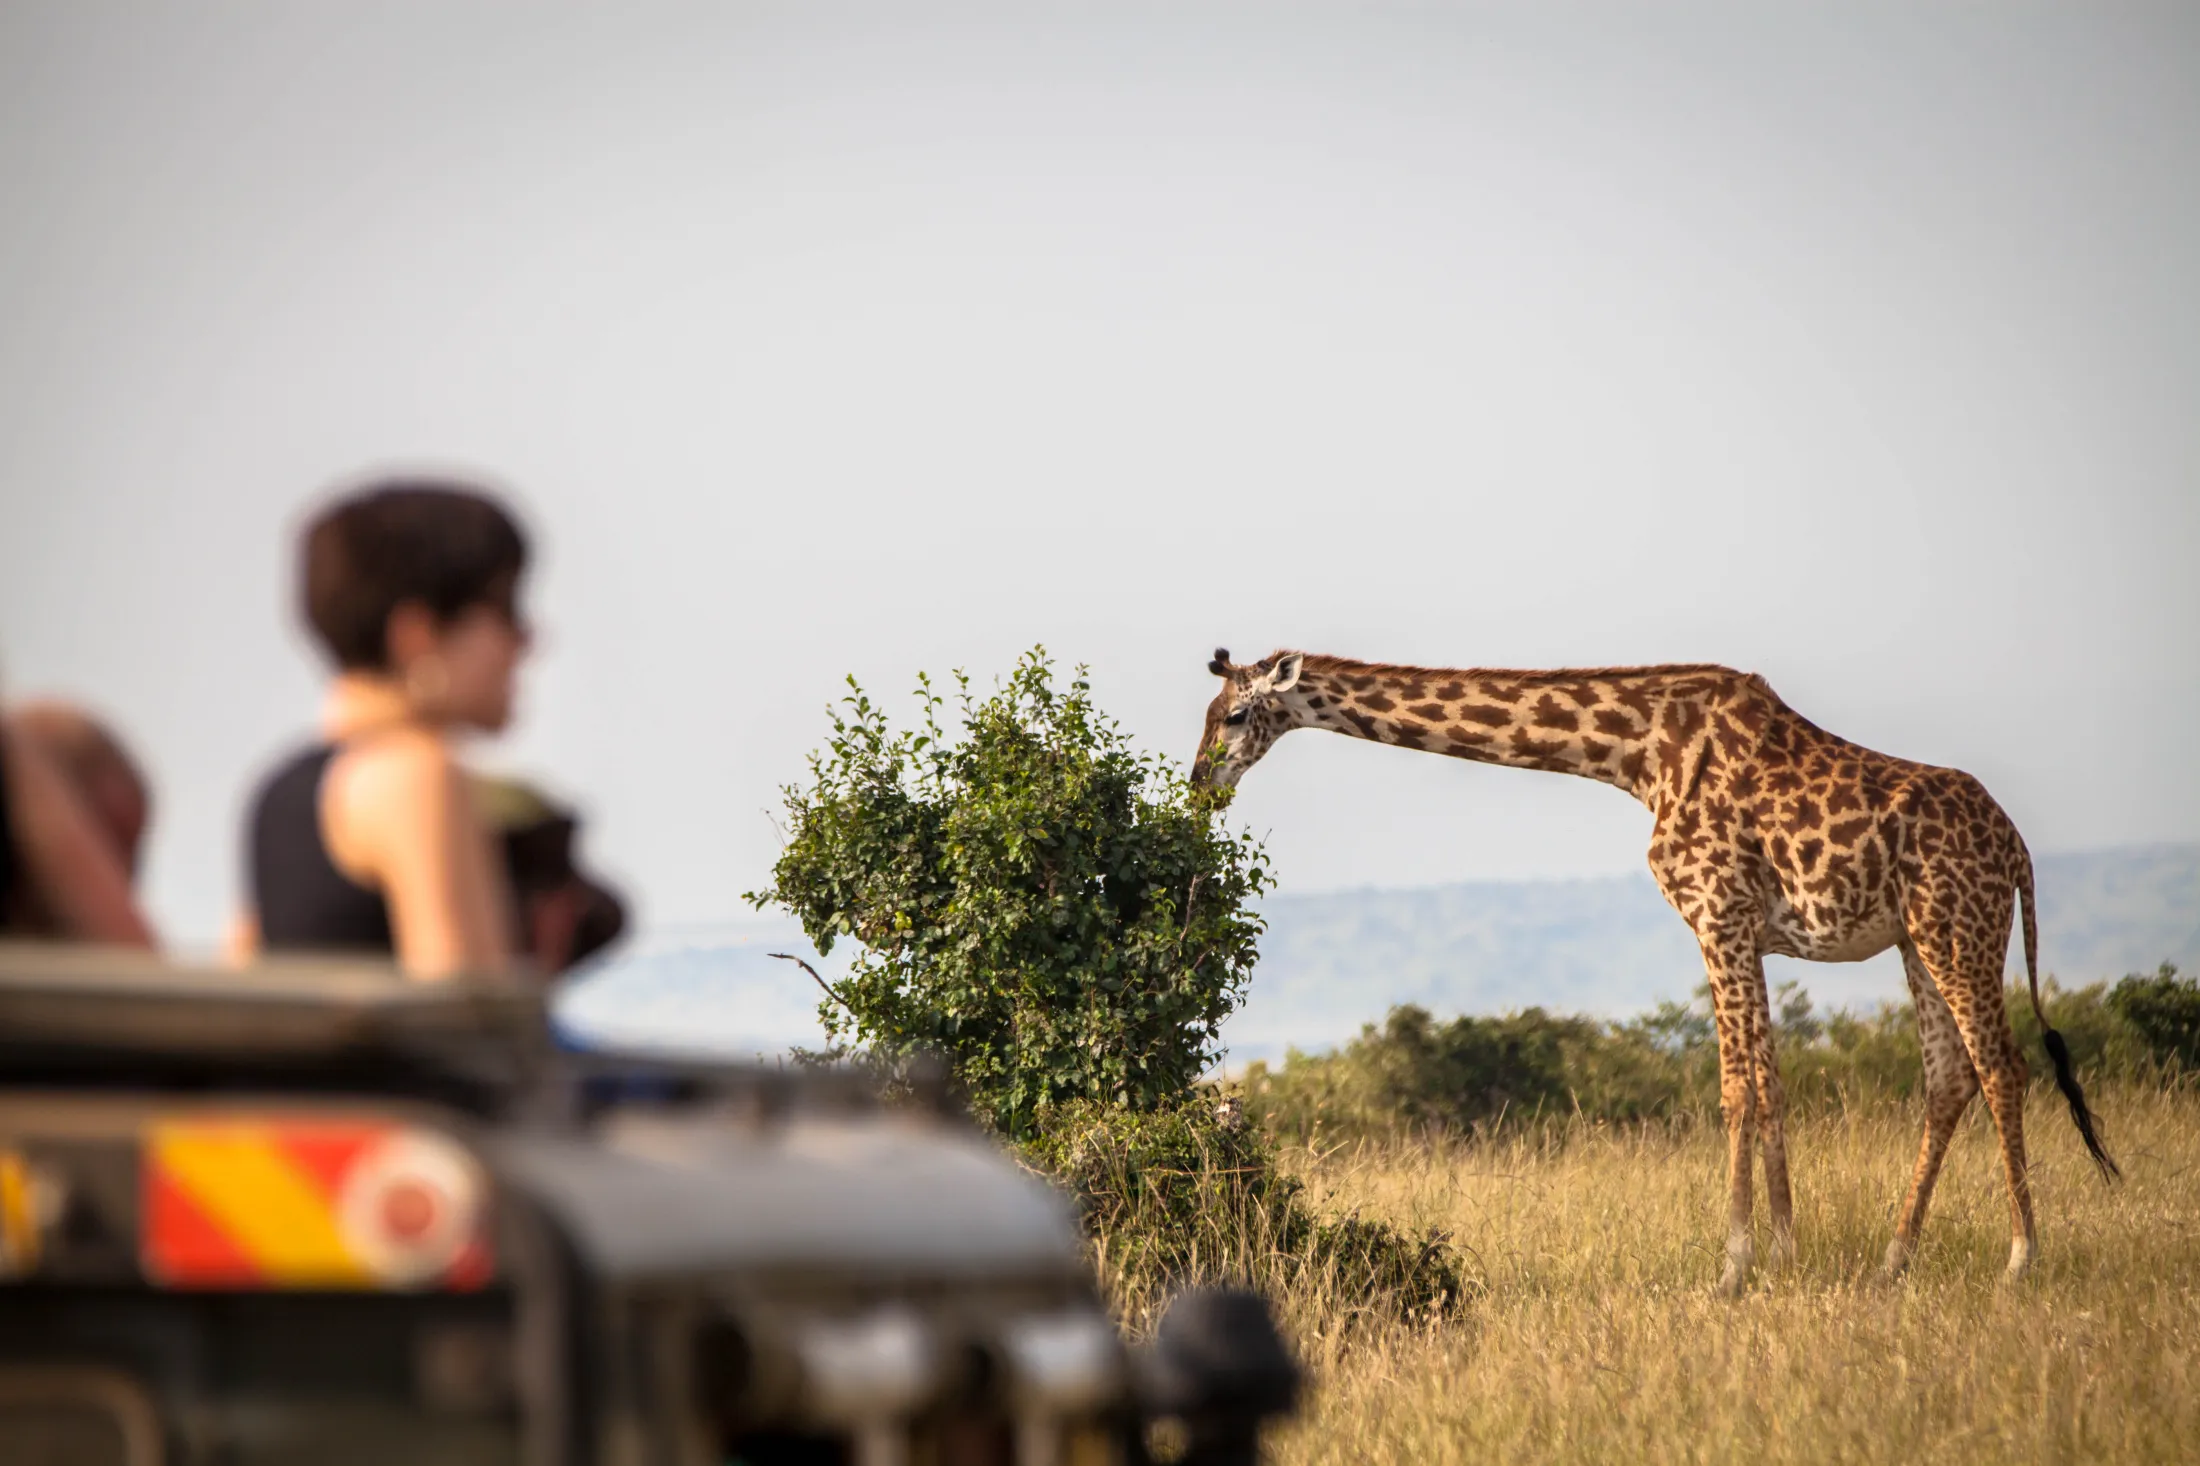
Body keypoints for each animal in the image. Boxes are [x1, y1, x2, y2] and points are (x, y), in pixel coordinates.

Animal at [1191, 648, 2117, 1292]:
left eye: (1234, 715)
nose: (1200, 781)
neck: (1636, 755)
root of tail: (2018, 850)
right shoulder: (1743, 930)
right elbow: (1769, 1083)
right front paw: (1788, 1255)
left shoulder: (1718, 914)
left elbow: (1736, 1088)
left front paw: (1734, 1269)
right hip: (1917, 942)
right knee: (1948, 1079)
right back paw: (1893, 1261)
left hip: (1959, 926)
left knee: (2001, 1066)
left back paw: (2021, 1259)